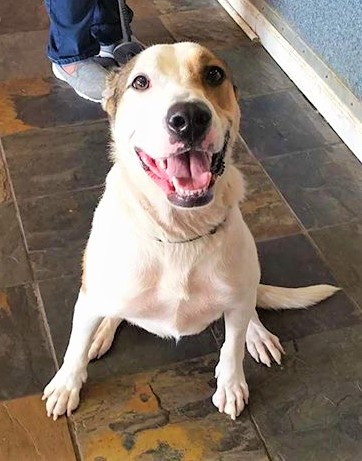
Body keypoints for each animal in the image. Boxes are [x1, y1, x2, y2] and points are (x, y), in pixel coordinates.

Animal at [43, 43, 340, 420]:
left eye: (214, 74)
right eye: (140, 82)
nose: (189, 118)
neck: (178, 233)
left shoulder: (236, 299)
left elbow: (231, 348)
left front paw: (231, 384)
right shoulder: (89, 297)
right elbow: (75, 347)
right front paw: (66, 385)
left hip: (246, 282)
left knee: (249, 310)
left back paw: (258, 334)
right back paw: (103, 331)